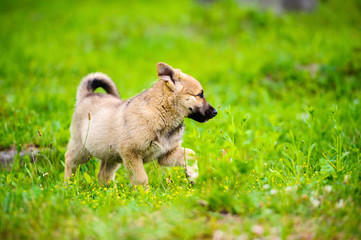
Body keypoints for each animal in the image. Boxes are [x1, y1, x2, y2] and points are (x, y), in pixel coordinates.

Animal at [64, 62, 217, 186]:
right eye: (200, 94)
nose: (215, 112)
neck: (160, 111)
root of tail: (86, 95)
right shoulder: (131, 153)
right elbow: (141, 178)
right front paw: (145, 195)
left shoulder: (166, 154)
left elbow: (190, 154)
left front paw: (192, 175)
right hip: (82, 150)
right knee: (69, 161)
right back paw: (68, 185)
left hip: (110, 156)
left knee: (103, 175)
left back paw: (110, 192)